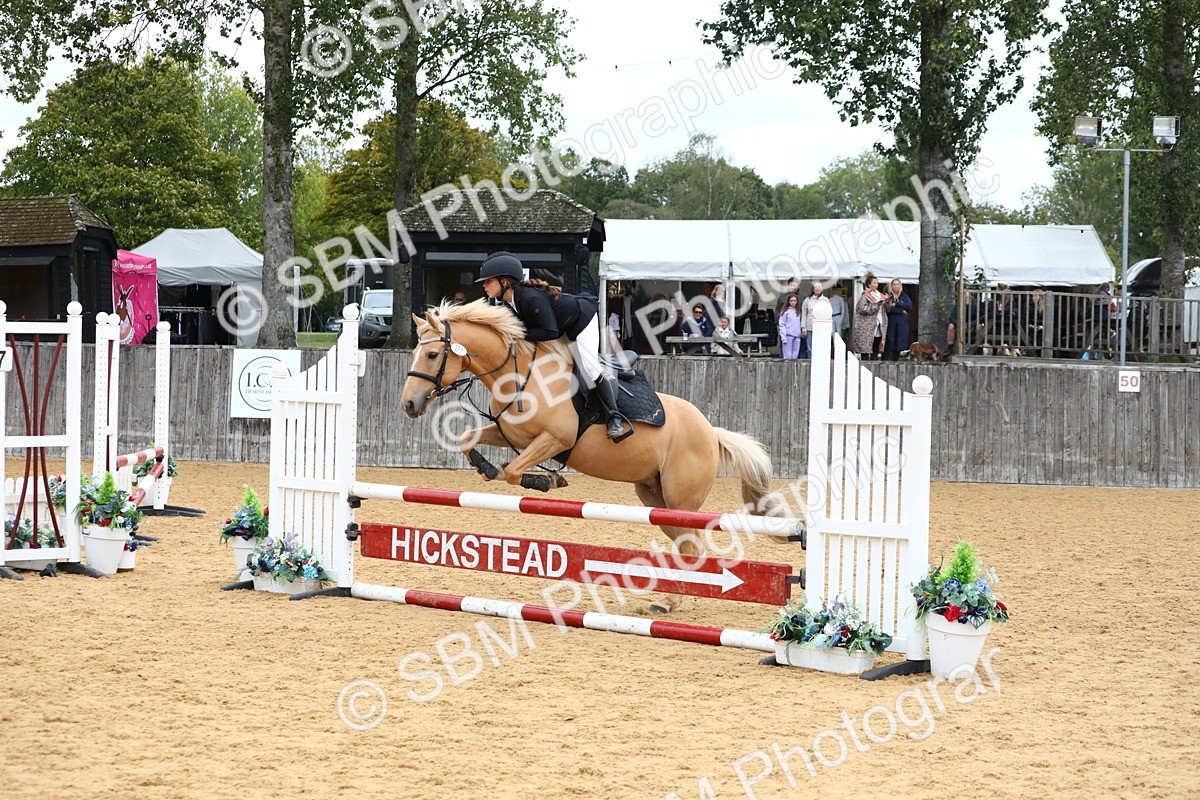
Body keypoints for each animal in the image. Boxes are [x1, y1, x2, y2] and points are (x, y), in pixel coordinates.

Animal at [399, 300, 787, 613]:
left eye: (432, 355)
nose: (409, 405)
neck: (519, 373)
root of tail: (711, 432)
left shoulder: (554, 439)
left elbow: (514, 471)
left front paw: (546, 480)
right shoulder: (511, 433)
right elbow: (470, 440)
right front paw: (485, 466)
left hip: (680, 501)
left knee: (692, 548)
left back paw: (668, 603)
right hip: (656, 500)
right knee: (686, 547)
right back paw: (668, 600)